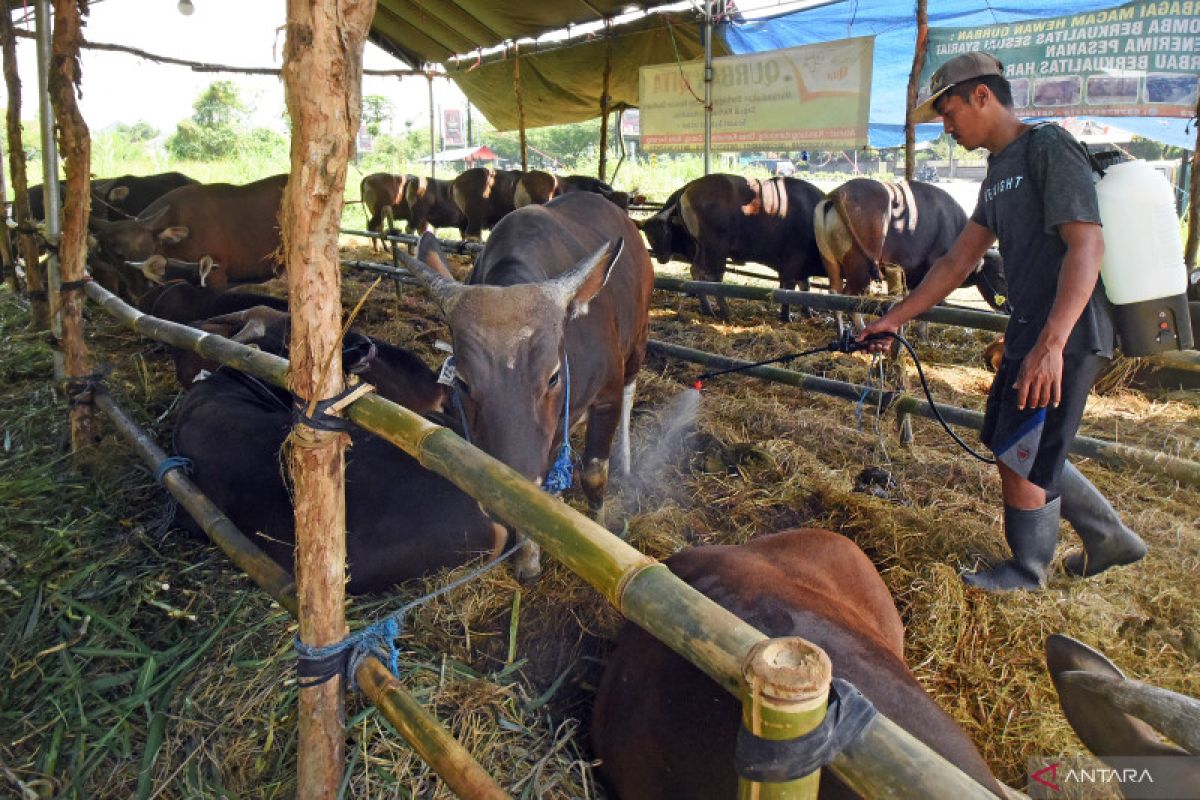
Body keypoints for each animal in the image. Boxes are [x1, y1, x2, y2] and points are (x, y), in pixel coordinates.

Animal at [398, 194, 652, 582]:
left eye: (553, 376)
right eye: (463, 382)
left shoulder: (605, 395)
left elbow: (594, 473)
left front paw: (601, 528)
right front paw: (529, 556)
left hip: (638, 341)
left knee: (630, 392)